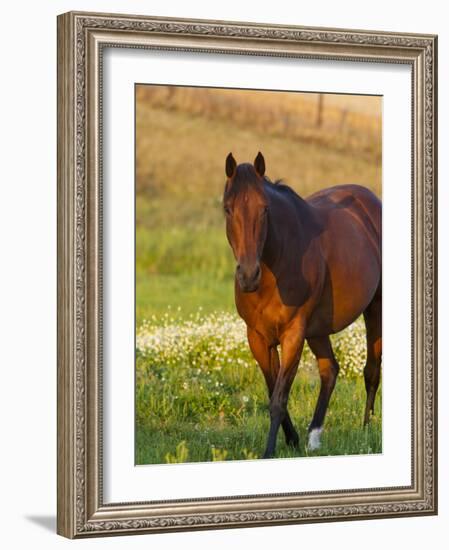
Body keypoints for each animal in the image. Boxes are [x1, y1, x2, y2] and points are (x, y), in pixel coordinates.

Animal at [222, 152, 380, 462]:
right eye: (228, 209)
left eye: (264, 209)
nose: (248, 275)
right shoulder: (257, 338)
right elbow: (273, 389)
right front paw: (292, 439)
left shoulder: (293, 334)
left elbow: (279, 398)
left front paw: (269, 452)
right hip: (317, 330)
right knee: (330, 370)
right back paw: (314, 437)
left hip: (375, 309)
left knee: (371, 370)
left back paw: (366, 430)